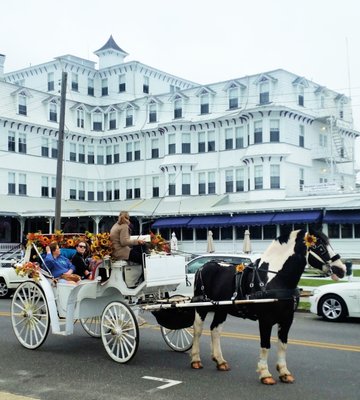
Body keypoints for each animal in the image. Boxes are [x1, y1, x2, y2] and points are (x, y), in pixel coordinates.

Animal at [191, 228, 346, 384]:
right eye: (320, 247)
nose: (342, 269)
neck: (275, 278)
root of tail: (203, 267)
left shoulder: (287, 319)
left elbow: (283, 345)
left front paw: (284, 372)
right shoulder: (265, 320)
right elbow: (265, 345)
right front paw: (265, 373)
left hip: (222, 309)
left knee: (215, 330)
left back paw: (220, 361)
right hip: (201, 307)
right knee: (198, 330)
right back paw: (196, 359)